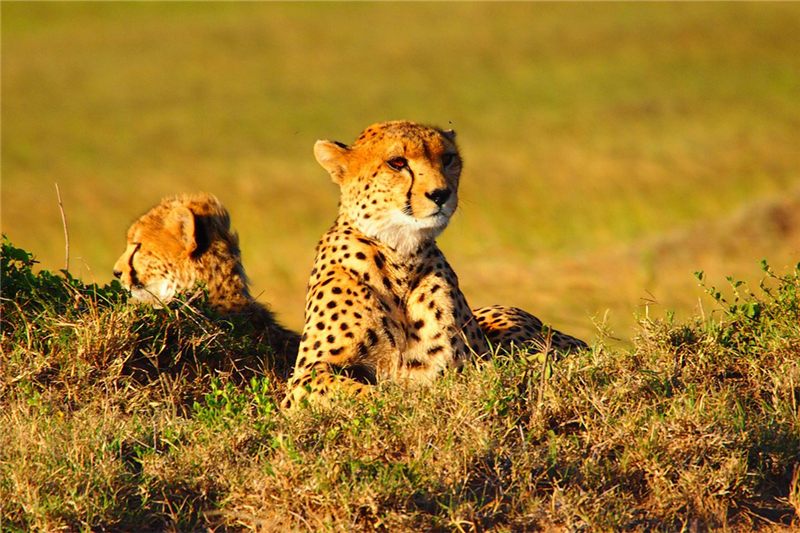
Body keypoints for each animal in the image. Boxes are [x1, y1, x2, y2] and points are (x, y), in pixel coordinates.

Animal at [283, 120, 586, 409]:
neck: (400, 256)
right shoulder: (306, 376)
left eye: (448, 158)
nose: (441, 194)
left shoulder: (457, 368)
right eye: (397, 162)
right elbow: (364, 393)